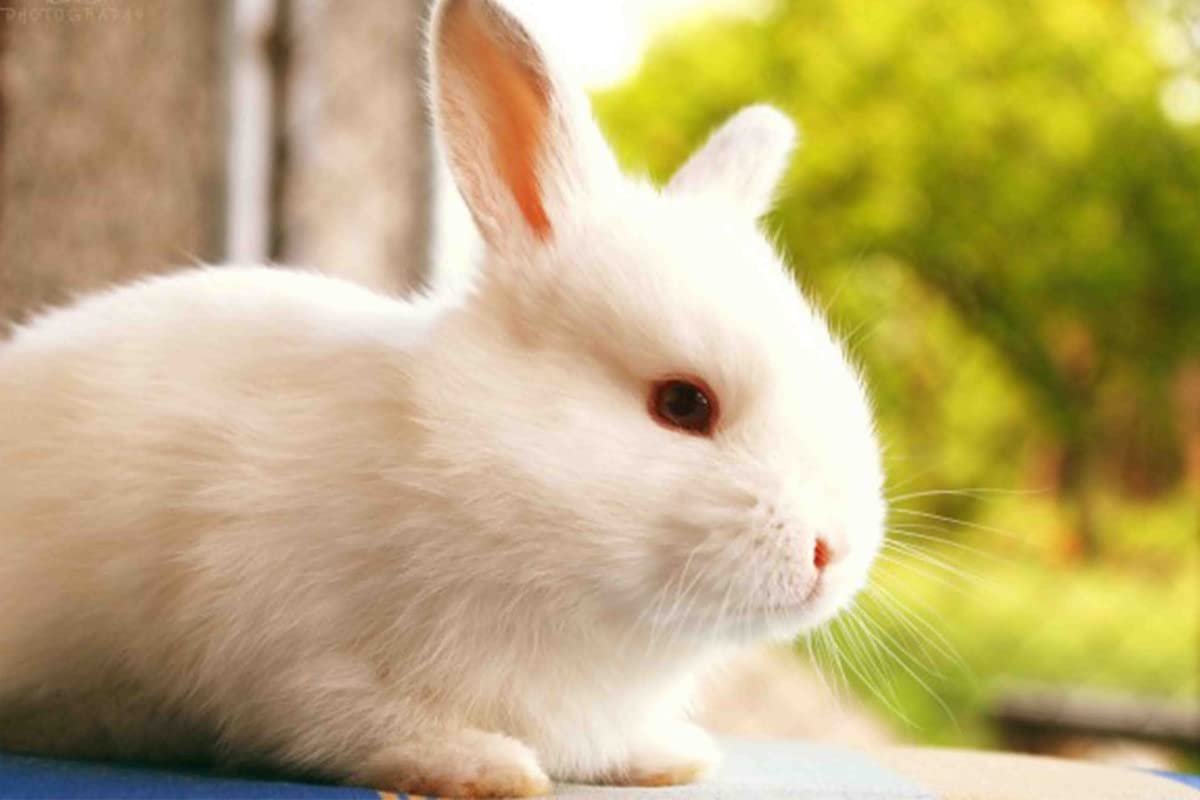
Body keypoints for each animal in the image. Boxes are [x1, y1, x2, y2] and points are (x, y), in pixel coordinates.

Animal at [0, 0, 886, 796]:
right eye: (683, 404)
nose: (832, 552)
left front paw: (667, 756)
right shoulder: (294, 654)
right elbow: (351, 722)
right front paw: (482, 767)